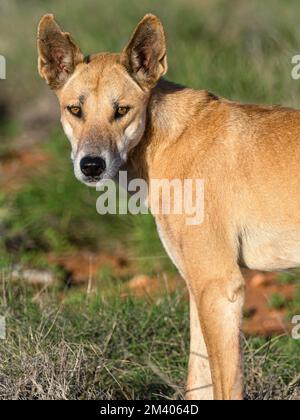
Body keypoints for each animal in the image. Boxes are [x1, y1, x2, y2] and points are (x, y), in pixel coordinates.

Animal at [37, 13, 300, 400]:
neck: (165, 140)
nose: (91, 166)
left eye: (121, 110)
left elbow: (225, 387)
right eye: (75, 110)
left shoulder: (220, 285)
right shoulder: (198, 287)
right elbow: (198, 382)